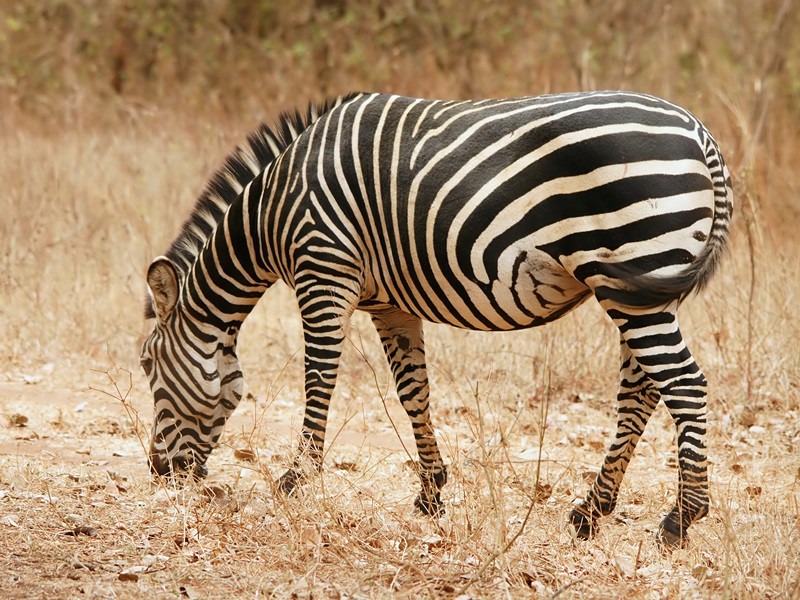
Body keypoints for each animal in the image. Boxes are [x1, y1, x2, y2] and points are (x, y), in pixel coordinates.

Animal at [140, 91, 733, 547]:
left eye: (146, 366)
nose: (158, 472)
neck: (270, 211)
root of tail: (700, 133)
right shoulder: (389, 303)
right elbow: (413, 392)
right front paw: (431, 491)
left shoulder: (323, 272)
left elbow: (319, 379)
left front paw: (296, 480)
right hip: (640, 288)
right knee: (643, 390)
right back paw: (592, 511)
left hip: (635, 270)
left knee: (685, 385)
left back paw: (682, 519)